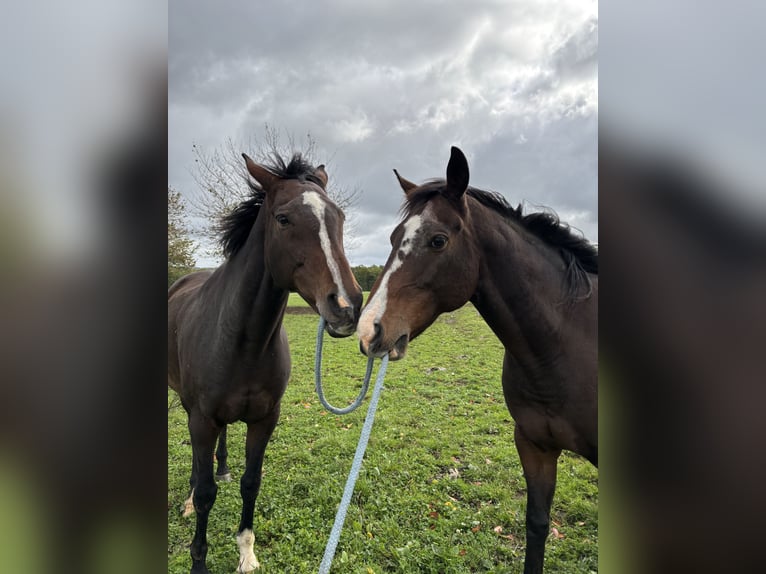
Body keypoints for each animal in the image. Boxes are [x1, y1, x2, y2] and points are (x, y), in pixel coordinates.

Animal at [168, 152, 363, 574]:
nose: (346, 306)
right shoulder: (202, 418)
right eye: (283, 219)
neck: (245, 341)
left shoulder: (264, 419)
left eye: (338, 217)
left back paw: (222, 468)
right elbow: (206, 492)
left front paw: (246, 552)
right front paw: (198, 559)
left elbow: (251, 482)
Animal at [357, 147, 597, 574]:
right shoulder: (534, 445)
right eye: (393, 237)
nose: (369, 329)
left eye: (437, 240)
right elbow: (537, 525)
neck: (564, 346)